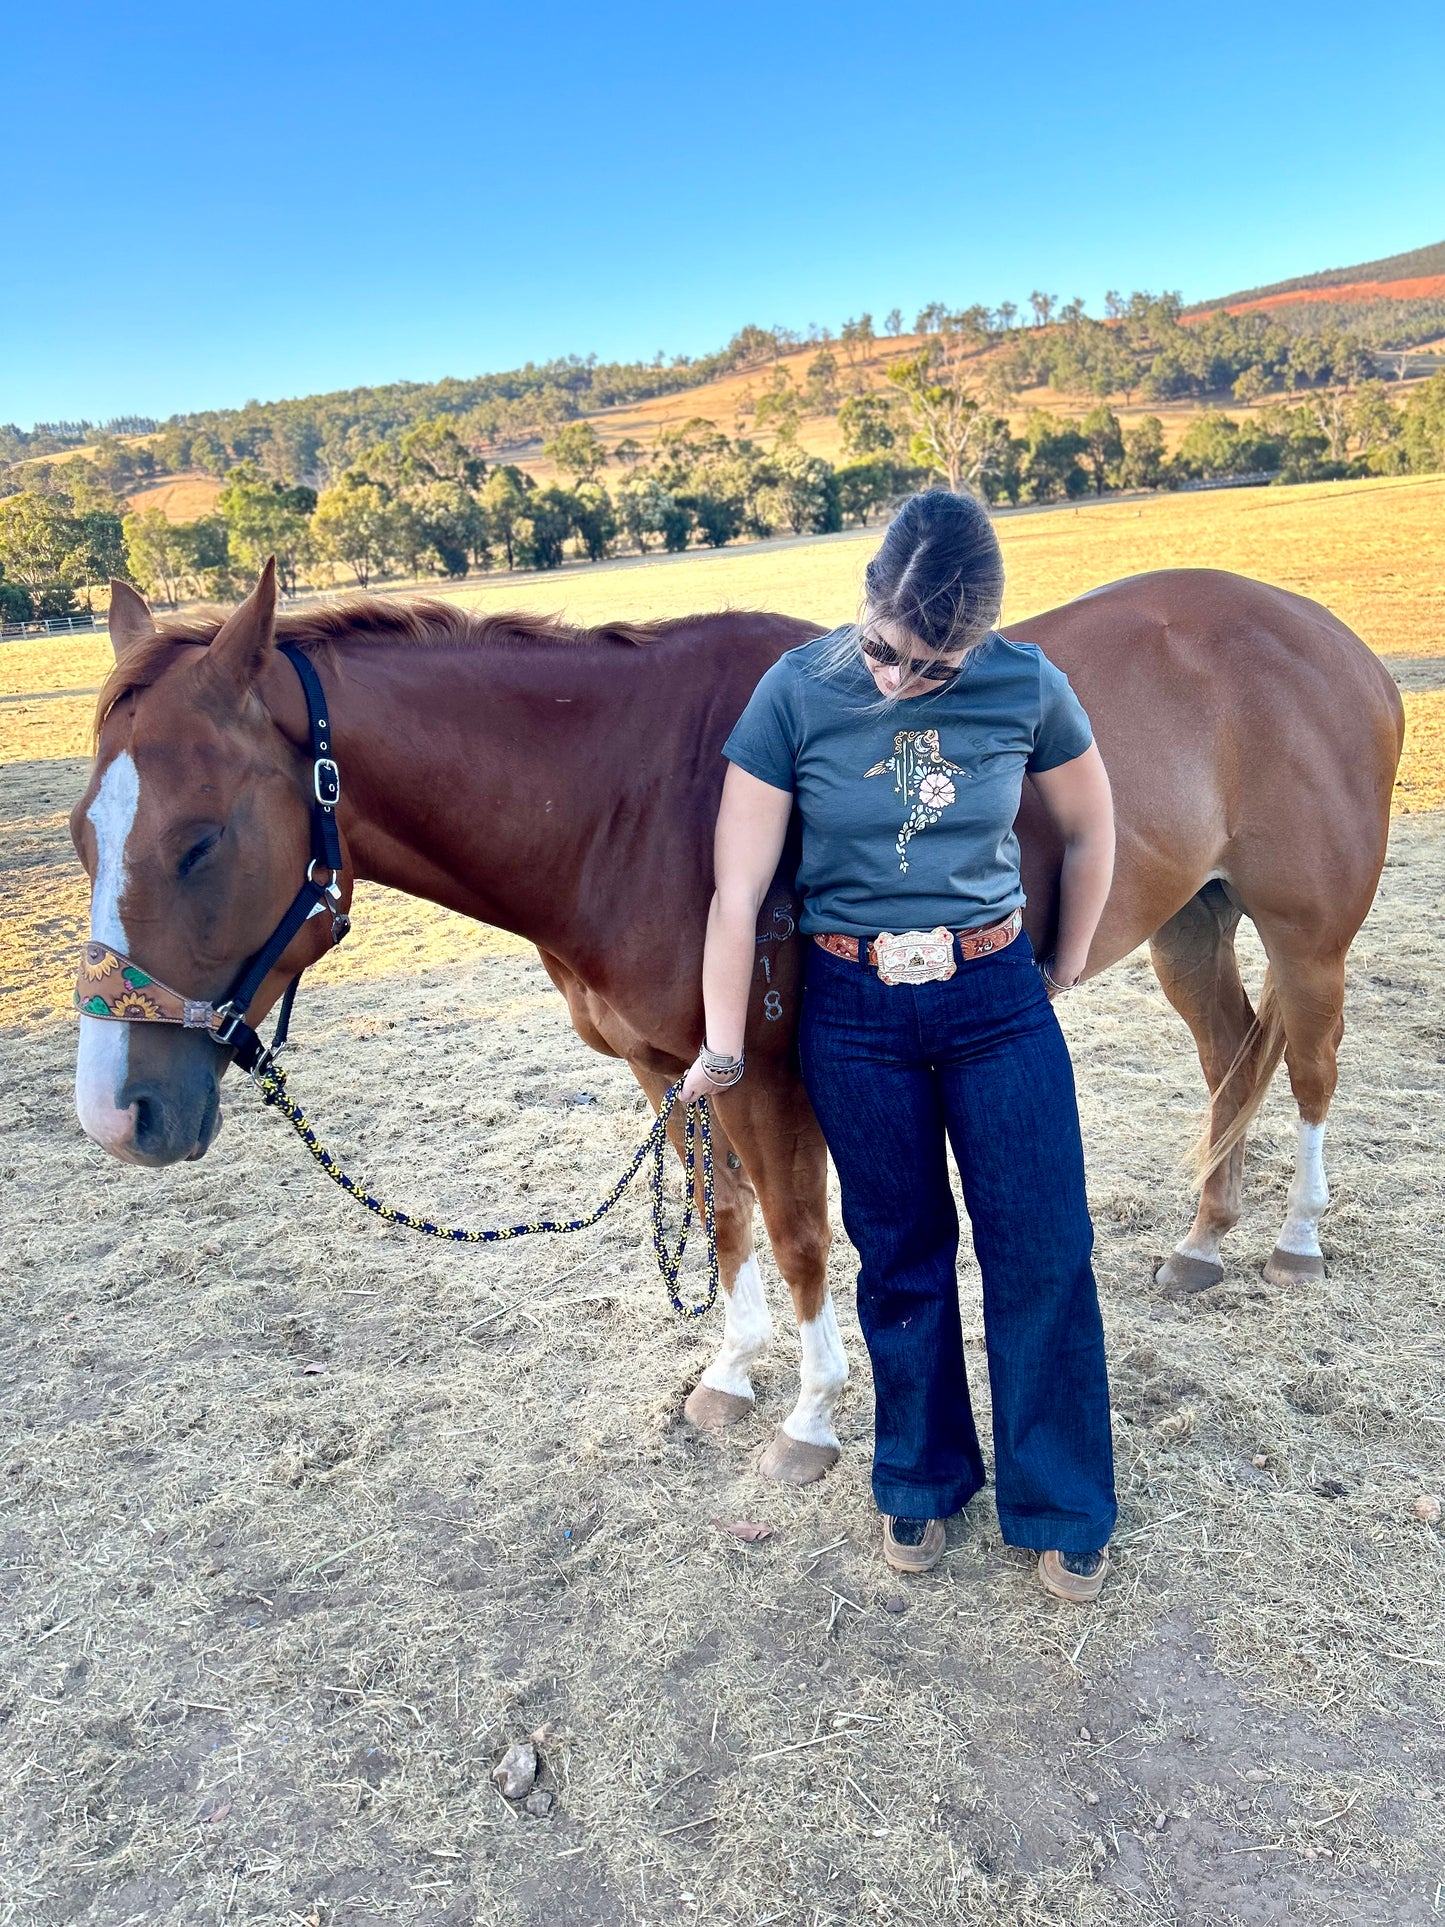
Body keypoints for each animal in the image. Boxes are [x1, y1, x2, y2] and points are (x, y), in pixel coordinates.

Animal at [76, 562, 1402, 1479]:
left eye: (199, 840)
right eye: (86, 835)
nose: (115, 1113)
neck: (631, 796)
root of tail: (1336, 642)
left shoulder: (769, 1072)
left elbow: (804, 1235)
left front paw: (811, 1420)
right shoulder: (667, 1067)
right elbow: (719, 1224)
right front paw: (727, 1374)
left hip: (1306, 938)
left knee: (1311, 1069)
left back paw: (1291, 1238)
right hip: (1190, 923)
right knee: (1231, 1055)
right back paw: (1202, 1239)